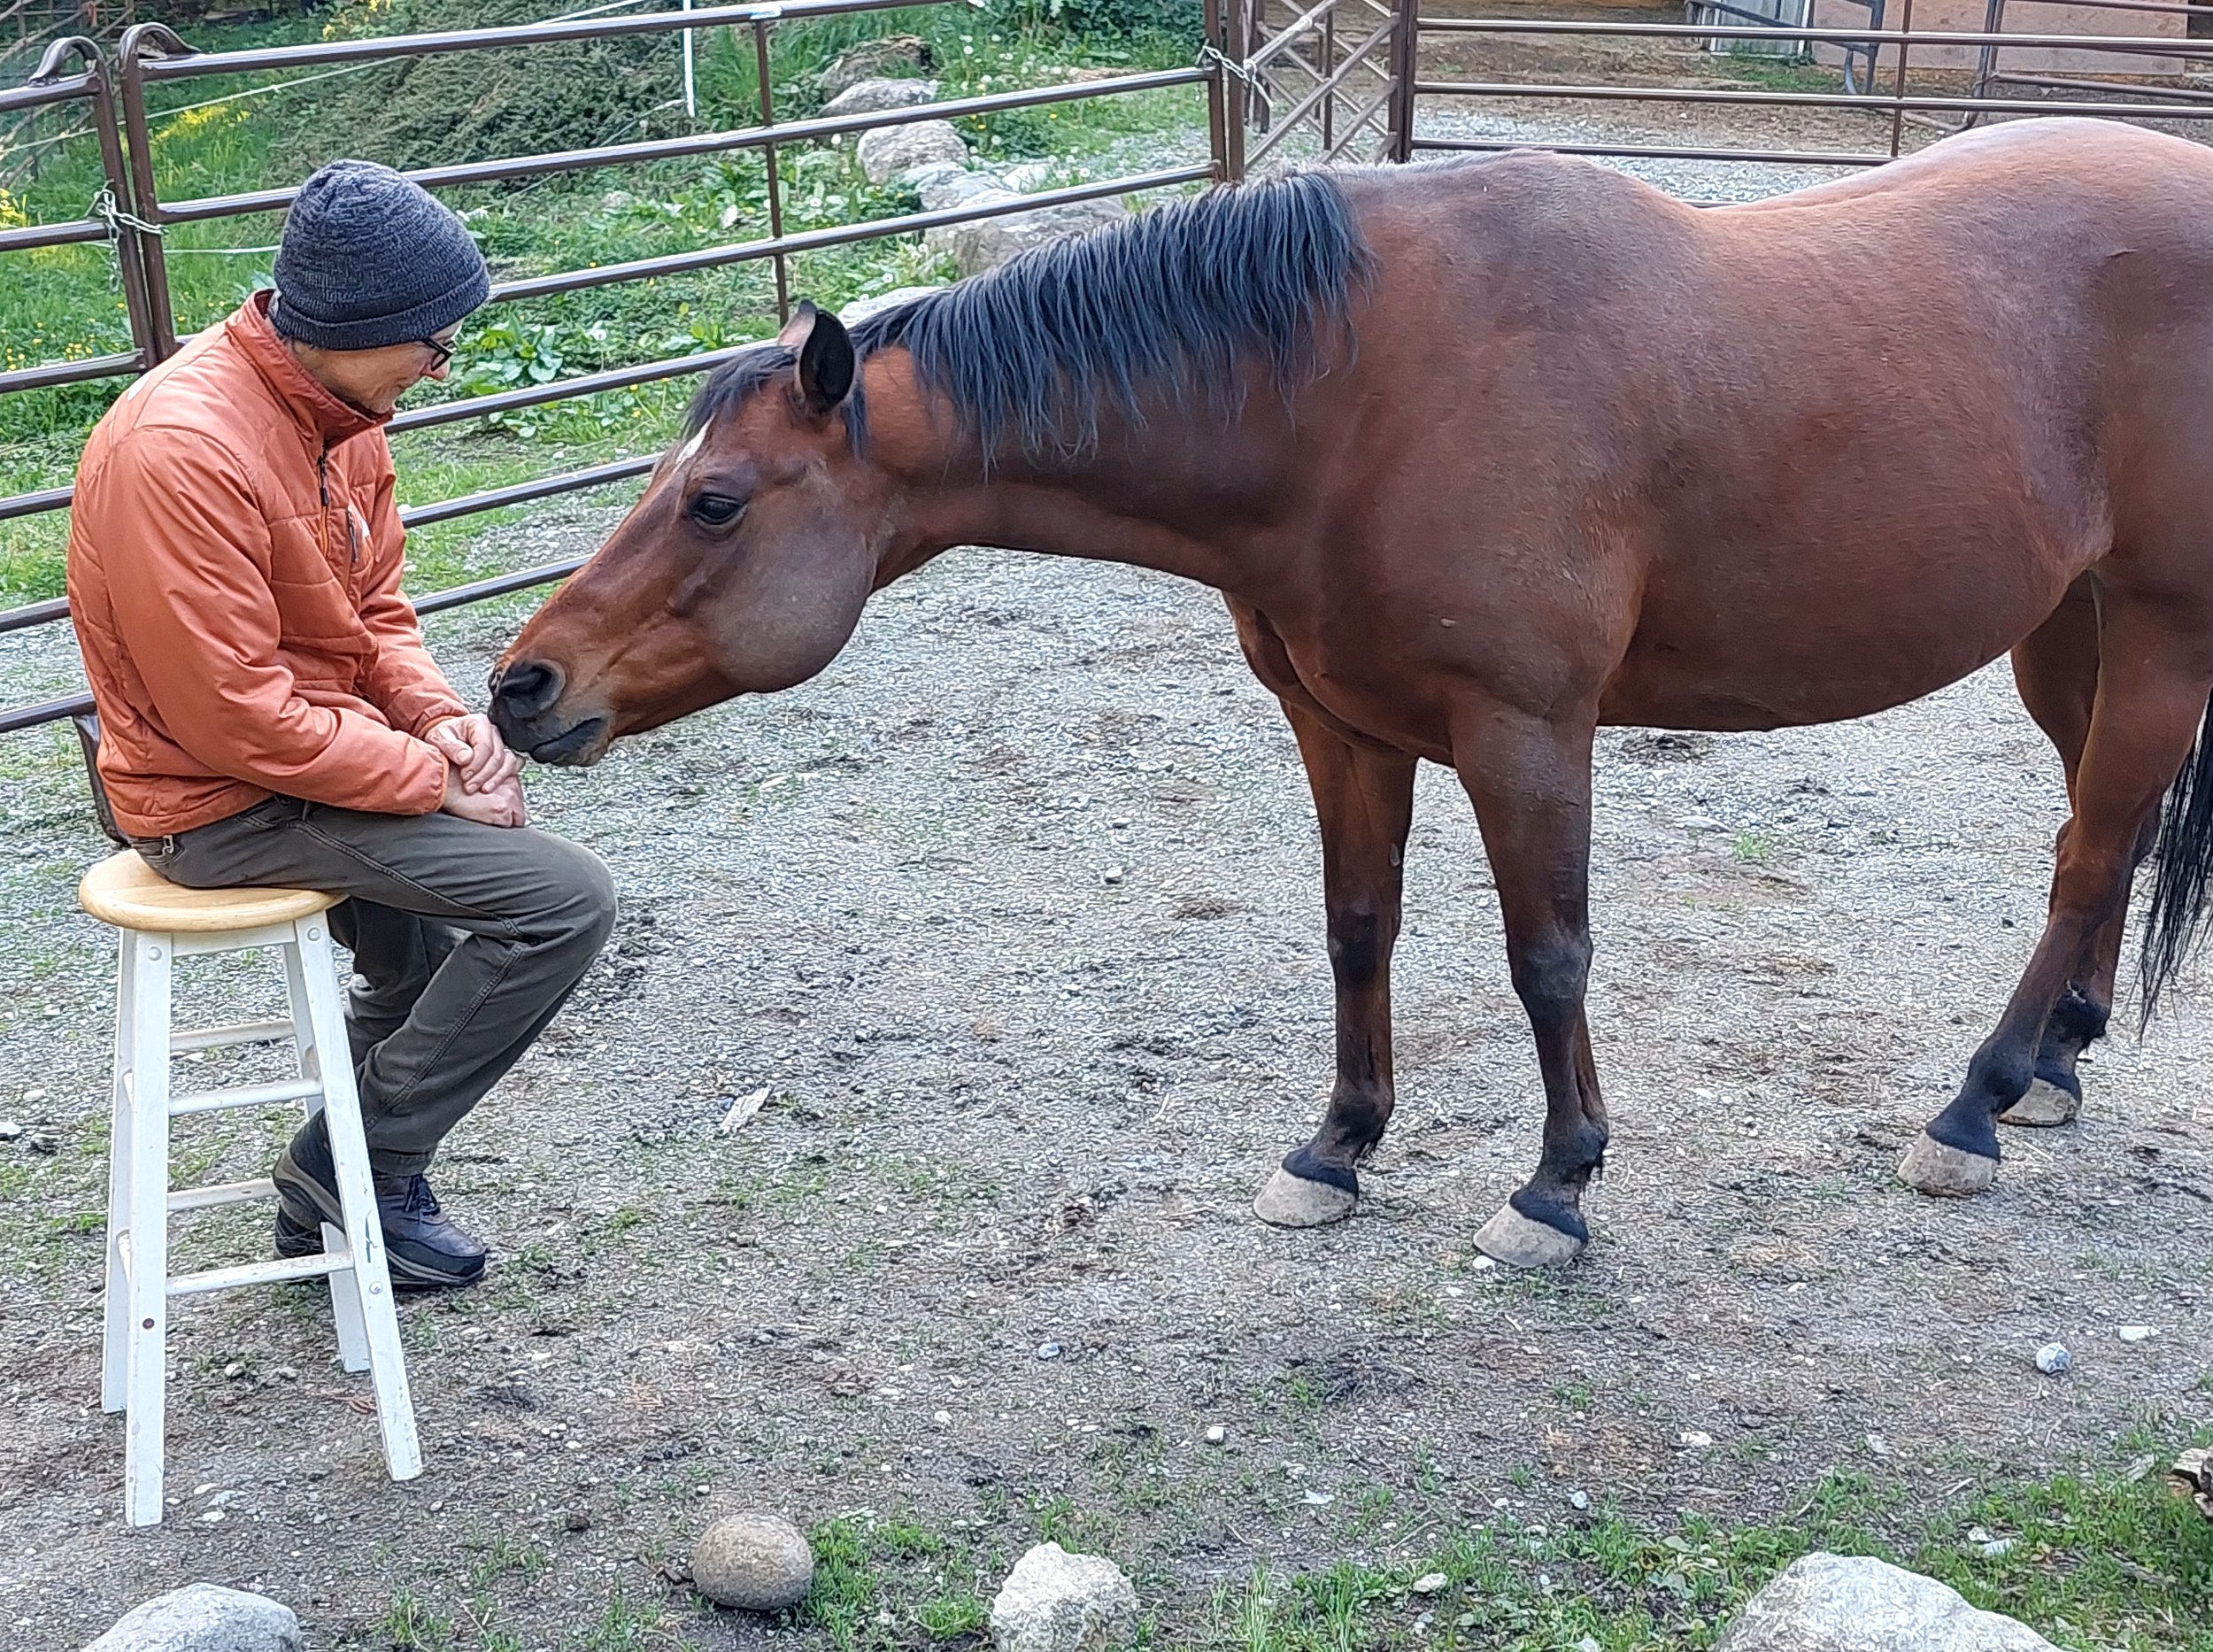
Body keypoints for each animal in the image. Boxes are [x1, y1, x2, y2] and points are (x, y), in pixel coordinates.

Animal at [490, 115, 2213, 1267]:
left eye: (717, 502)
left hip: (2162, 632)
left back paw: (1974, 1108)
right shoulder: (1340, 725)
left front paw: (1557, 1183)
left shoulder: (1527, 731)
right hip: (2067, 634)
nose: (521, 685)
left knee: (2086, 853)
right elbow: (1357, 930)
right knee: (2107, 839)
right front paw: (1336, 1149)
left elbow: (1548, 958)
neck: (1353, 396)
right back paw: (2056, 1063)